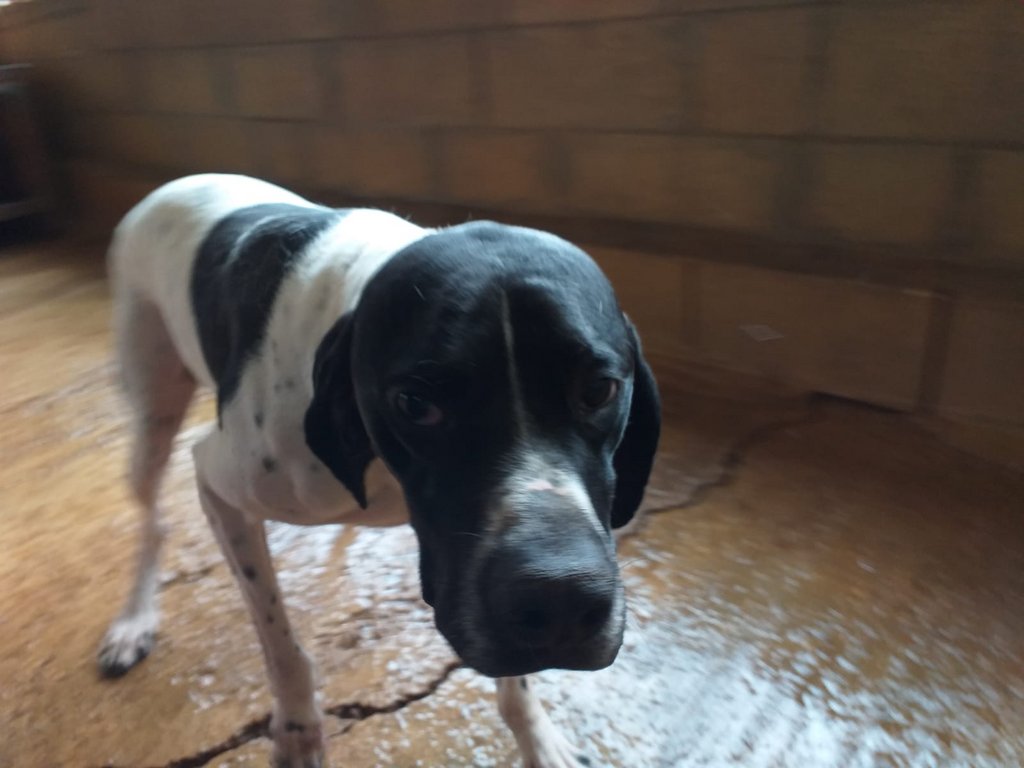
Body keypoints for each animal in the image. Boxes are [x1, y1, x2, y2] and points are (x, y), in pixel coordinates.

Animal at [99, 174, 660, 768]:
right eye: (415, 403)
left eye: (598, 389)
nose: (559, 602)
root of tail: (176, 184)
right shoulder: (219, 487)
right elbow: (279, 641)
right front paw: (297, 727)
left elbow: (518, 683)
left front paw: (537, 737)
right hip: (153, 417)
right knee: (154, 521)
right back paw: (134, 620)